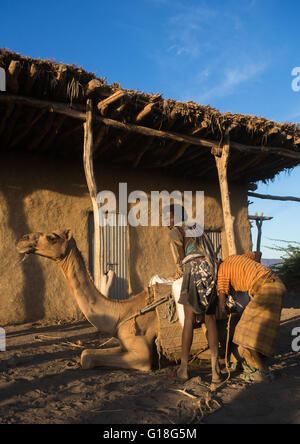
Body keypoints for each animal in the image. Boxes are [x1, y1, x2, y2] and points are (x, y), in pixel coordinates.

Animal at [17, 229, 221, 382]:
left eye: (52, 237)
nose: (22, 240)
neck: (121, 312)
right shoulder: (123, 345)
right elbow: (86, 354)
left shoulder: (141, 353)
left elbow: (87, 358)